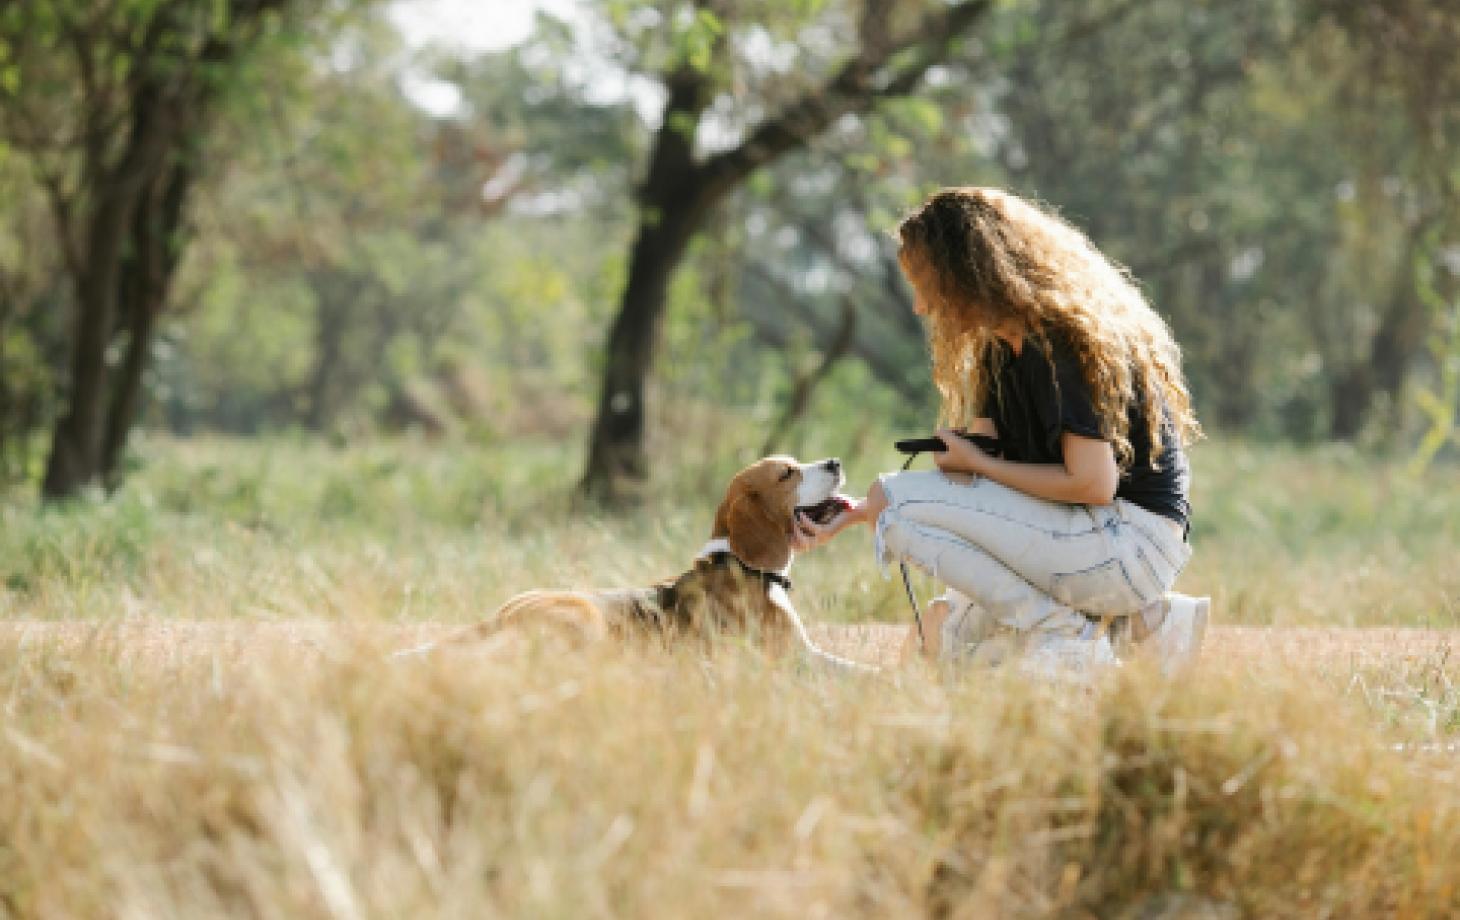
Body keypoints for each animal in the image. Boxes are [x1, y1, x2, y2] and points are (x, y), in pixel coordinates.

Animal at [400, 458, 864, 674]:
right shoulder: (795, 658)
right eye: (787, 473)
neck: (740, 562)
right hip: (586, 620)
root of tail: (500, 616)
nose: (835, 463)